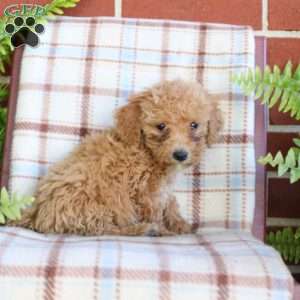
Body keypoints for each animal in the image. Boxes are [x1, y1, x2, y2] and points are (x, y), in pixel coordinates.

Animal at [13, 80, 223, 237]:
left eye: (194, 125)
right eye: (161, 126)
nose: (180, 154)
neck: (147, 151)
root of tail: (36, 213)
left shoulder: (161, 189)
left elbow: (170, 203)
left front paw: (180, 224)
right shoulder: (145, 192)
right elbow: (156, 212)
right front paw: (166, 230)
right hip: (94, 207)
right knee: (104, 229)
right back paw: (143, 230)